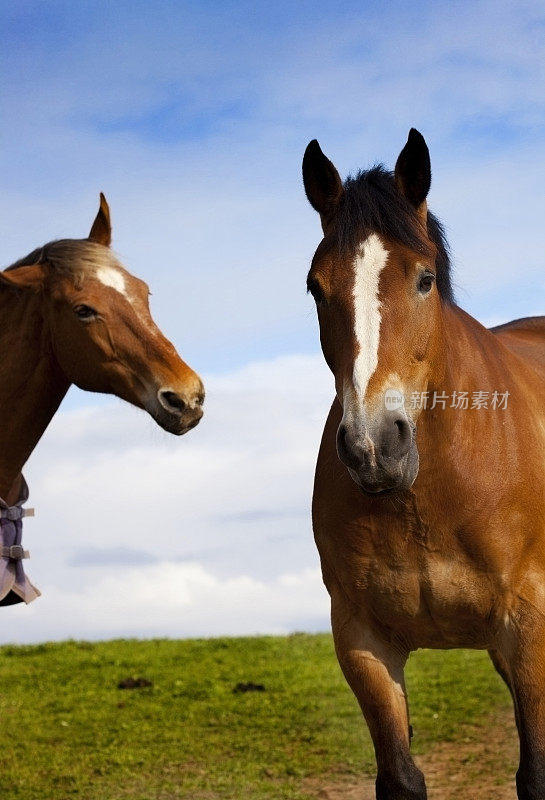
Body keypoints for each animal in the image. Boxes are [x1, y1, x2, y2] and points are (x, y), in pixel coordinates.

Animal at [302, 131, 544, 800]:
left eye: (425, 279)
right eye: (315, 288)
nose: (374, 447)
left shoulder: (530, 628)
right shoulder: (363, 638)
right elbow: (401, 776)